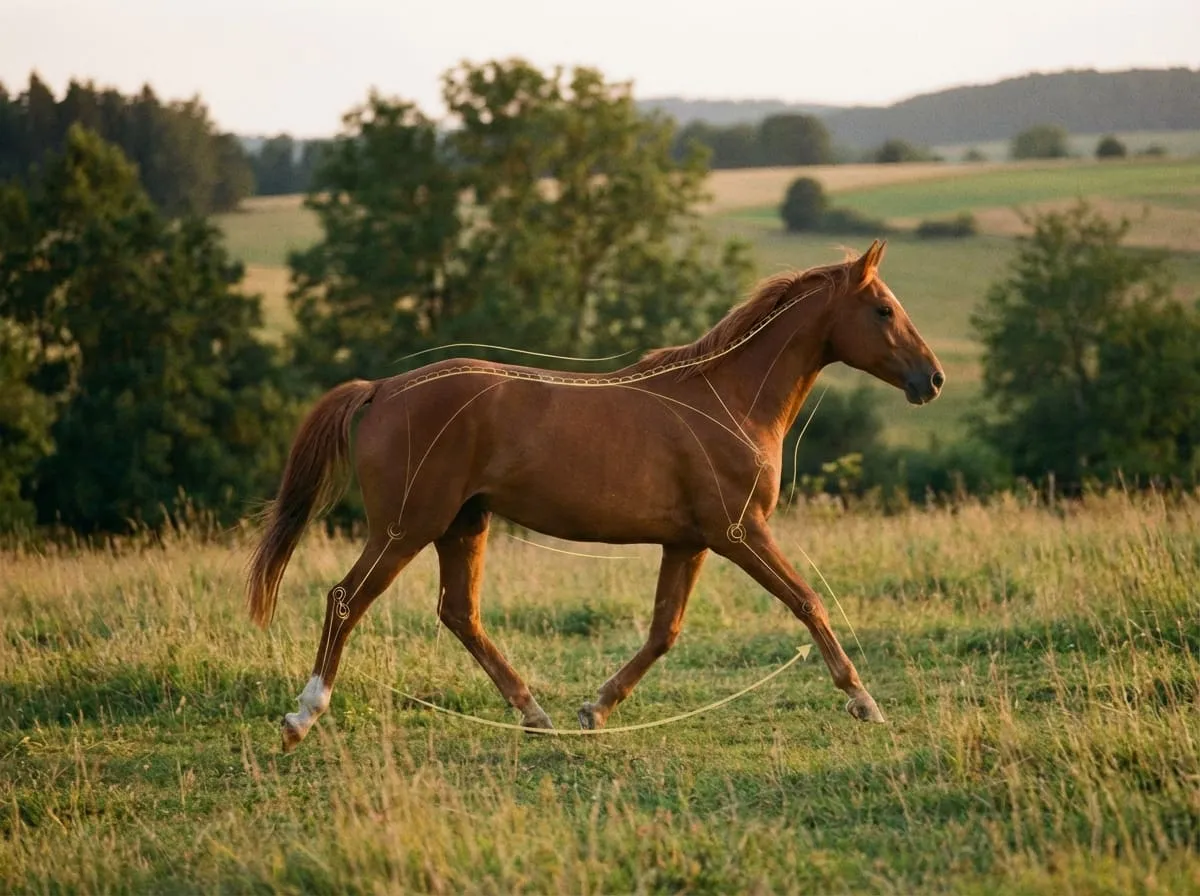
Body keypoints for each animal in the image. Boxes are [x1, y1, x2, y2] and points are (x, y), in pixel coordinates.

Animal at [247, 239, 944, 751]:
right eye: (883, 309)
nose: (931, 380)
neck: (731, 400)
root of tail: (383, 389)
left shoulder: (688, 542)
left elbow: (664, 631)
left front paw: (595, 709)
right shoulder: (739, 533)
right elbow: (807, 601)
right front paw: (863, 700)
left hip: (462, 525)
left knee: (459, 613)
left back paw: (536, 715)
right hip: (406, 528)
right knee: (346, 600)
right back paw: (302, 718)